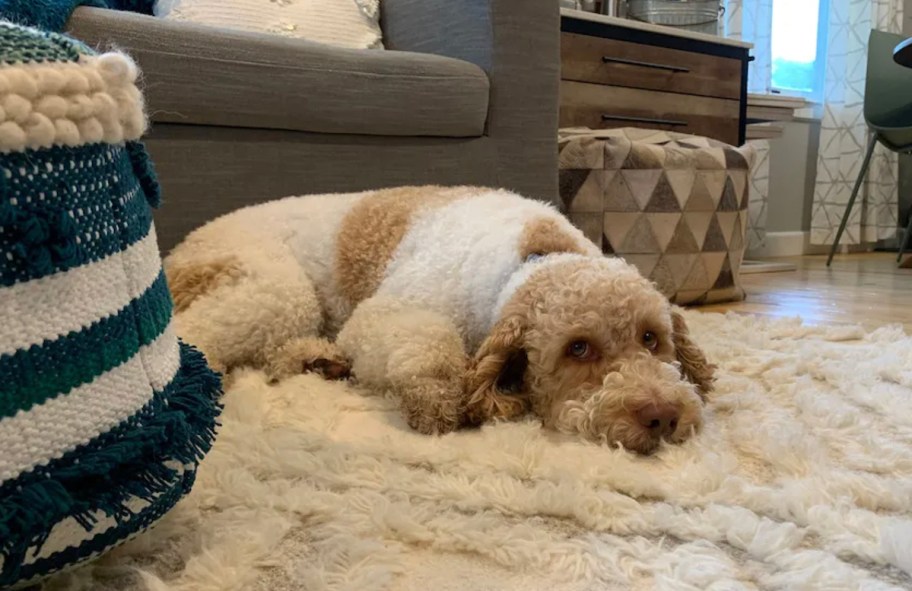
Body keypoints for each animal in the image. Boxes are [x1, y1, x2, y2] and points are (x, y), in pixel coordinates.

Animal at [167, 185, 716, 454]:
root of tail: (177, 250)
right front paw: (437, 397)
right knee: (199, 336)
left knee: (274, 349)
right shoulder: (384, 314)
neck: (532, 254)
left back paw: (318, 361)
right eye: (577, 347)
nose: (663, 416)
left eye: (652, 338)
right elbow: (428, 346)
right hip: (278, 290)